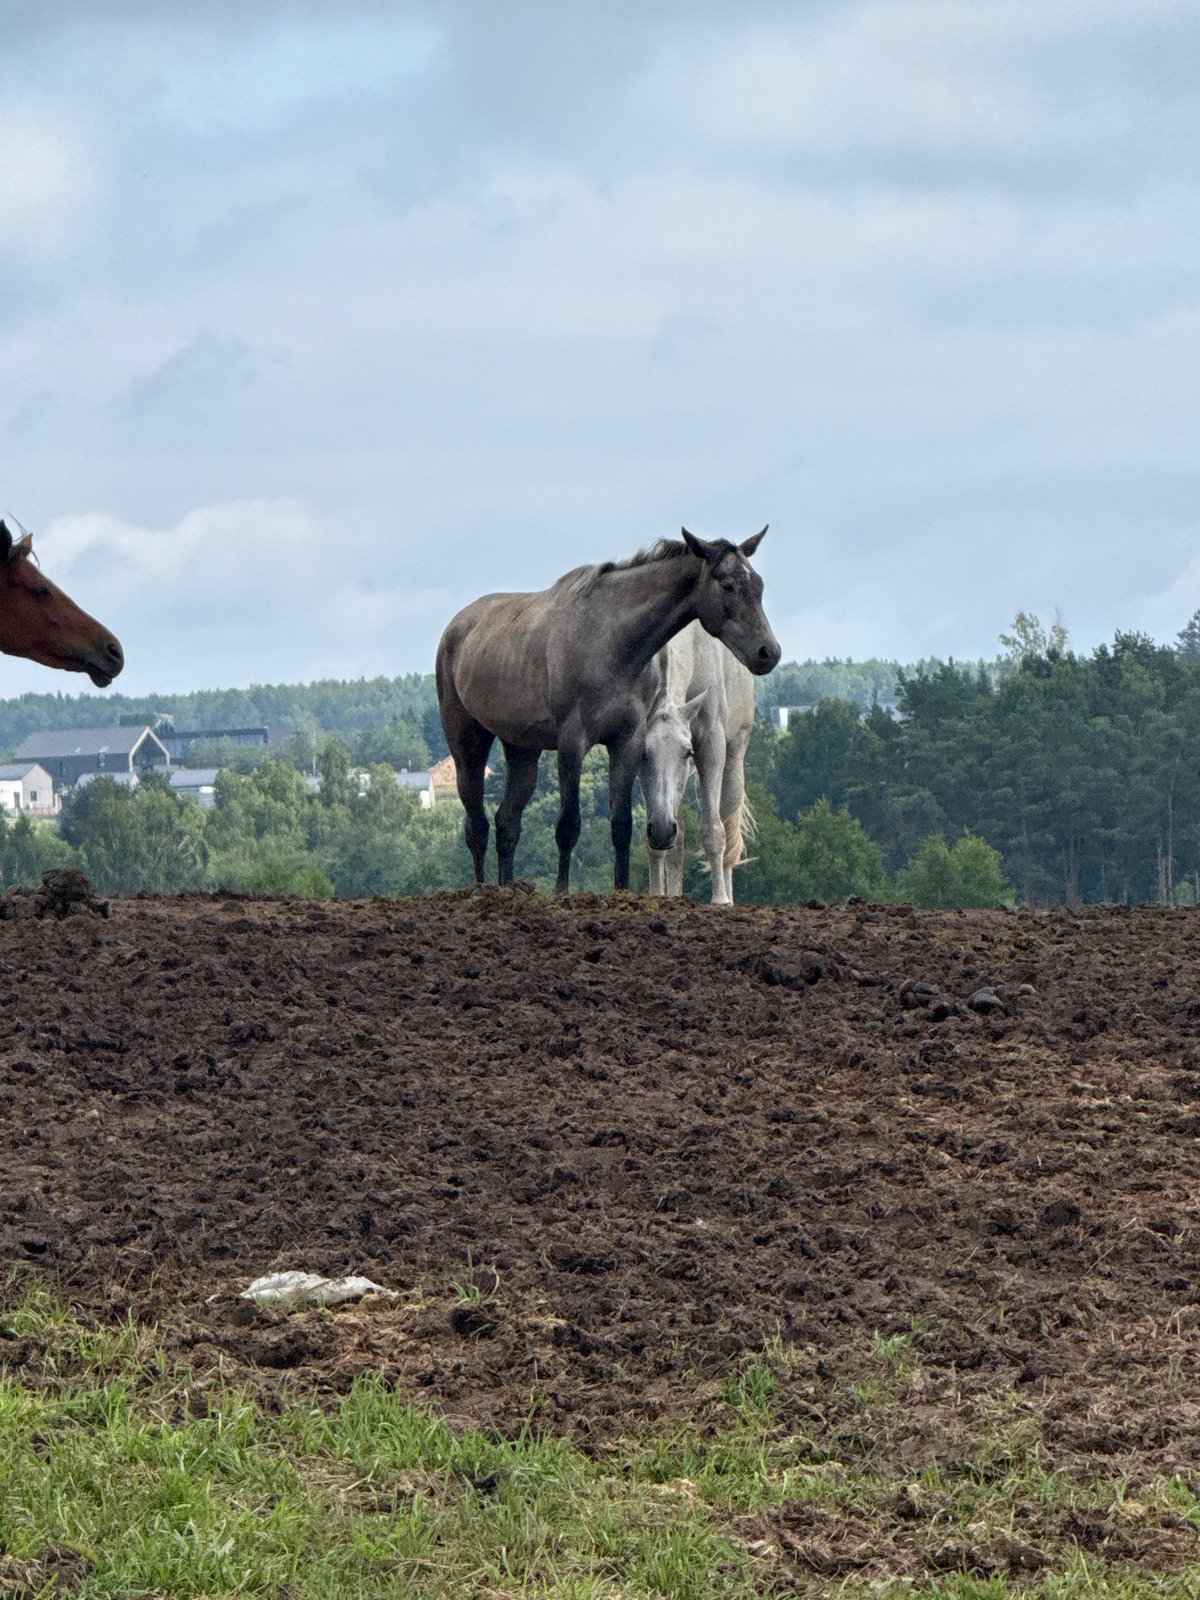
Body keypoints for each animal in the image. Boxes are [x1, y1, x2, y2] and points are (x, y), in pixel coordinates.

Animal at [641, 620, 756, 905]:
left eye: (687, 752)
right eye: (644, 754)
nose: (661, 831)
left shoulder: (711, 743)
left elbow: (714, 829)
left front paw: (719, 899)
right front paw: (657, 893)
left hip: (735, 756)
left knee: (728, 830)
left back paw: (727, 894)